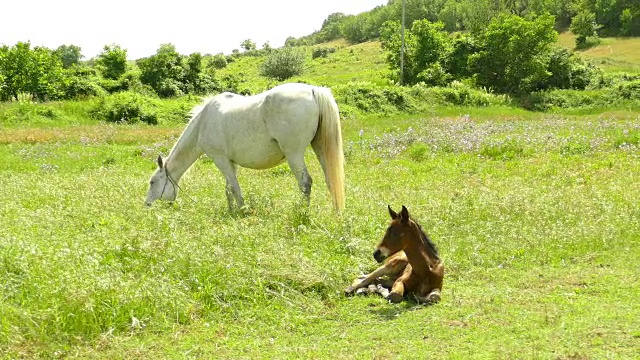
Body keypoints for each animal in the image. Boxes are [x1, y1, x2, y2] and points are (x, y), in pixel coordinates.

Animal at [144, 82, 344, 211]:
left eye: (153, 182)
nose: (147, 205)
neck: (203, 122)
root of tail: (313, 90)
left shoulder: (220, 159)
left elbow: (234, 187)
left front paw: (242, 210)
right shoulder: (230, 163)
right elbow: (228, 188)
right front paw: (231, 210)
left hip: (294, 154)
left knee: (305, 183)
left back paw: (303, 212)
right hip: (320, 149)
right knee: (330, 180)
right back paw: (336, 212)